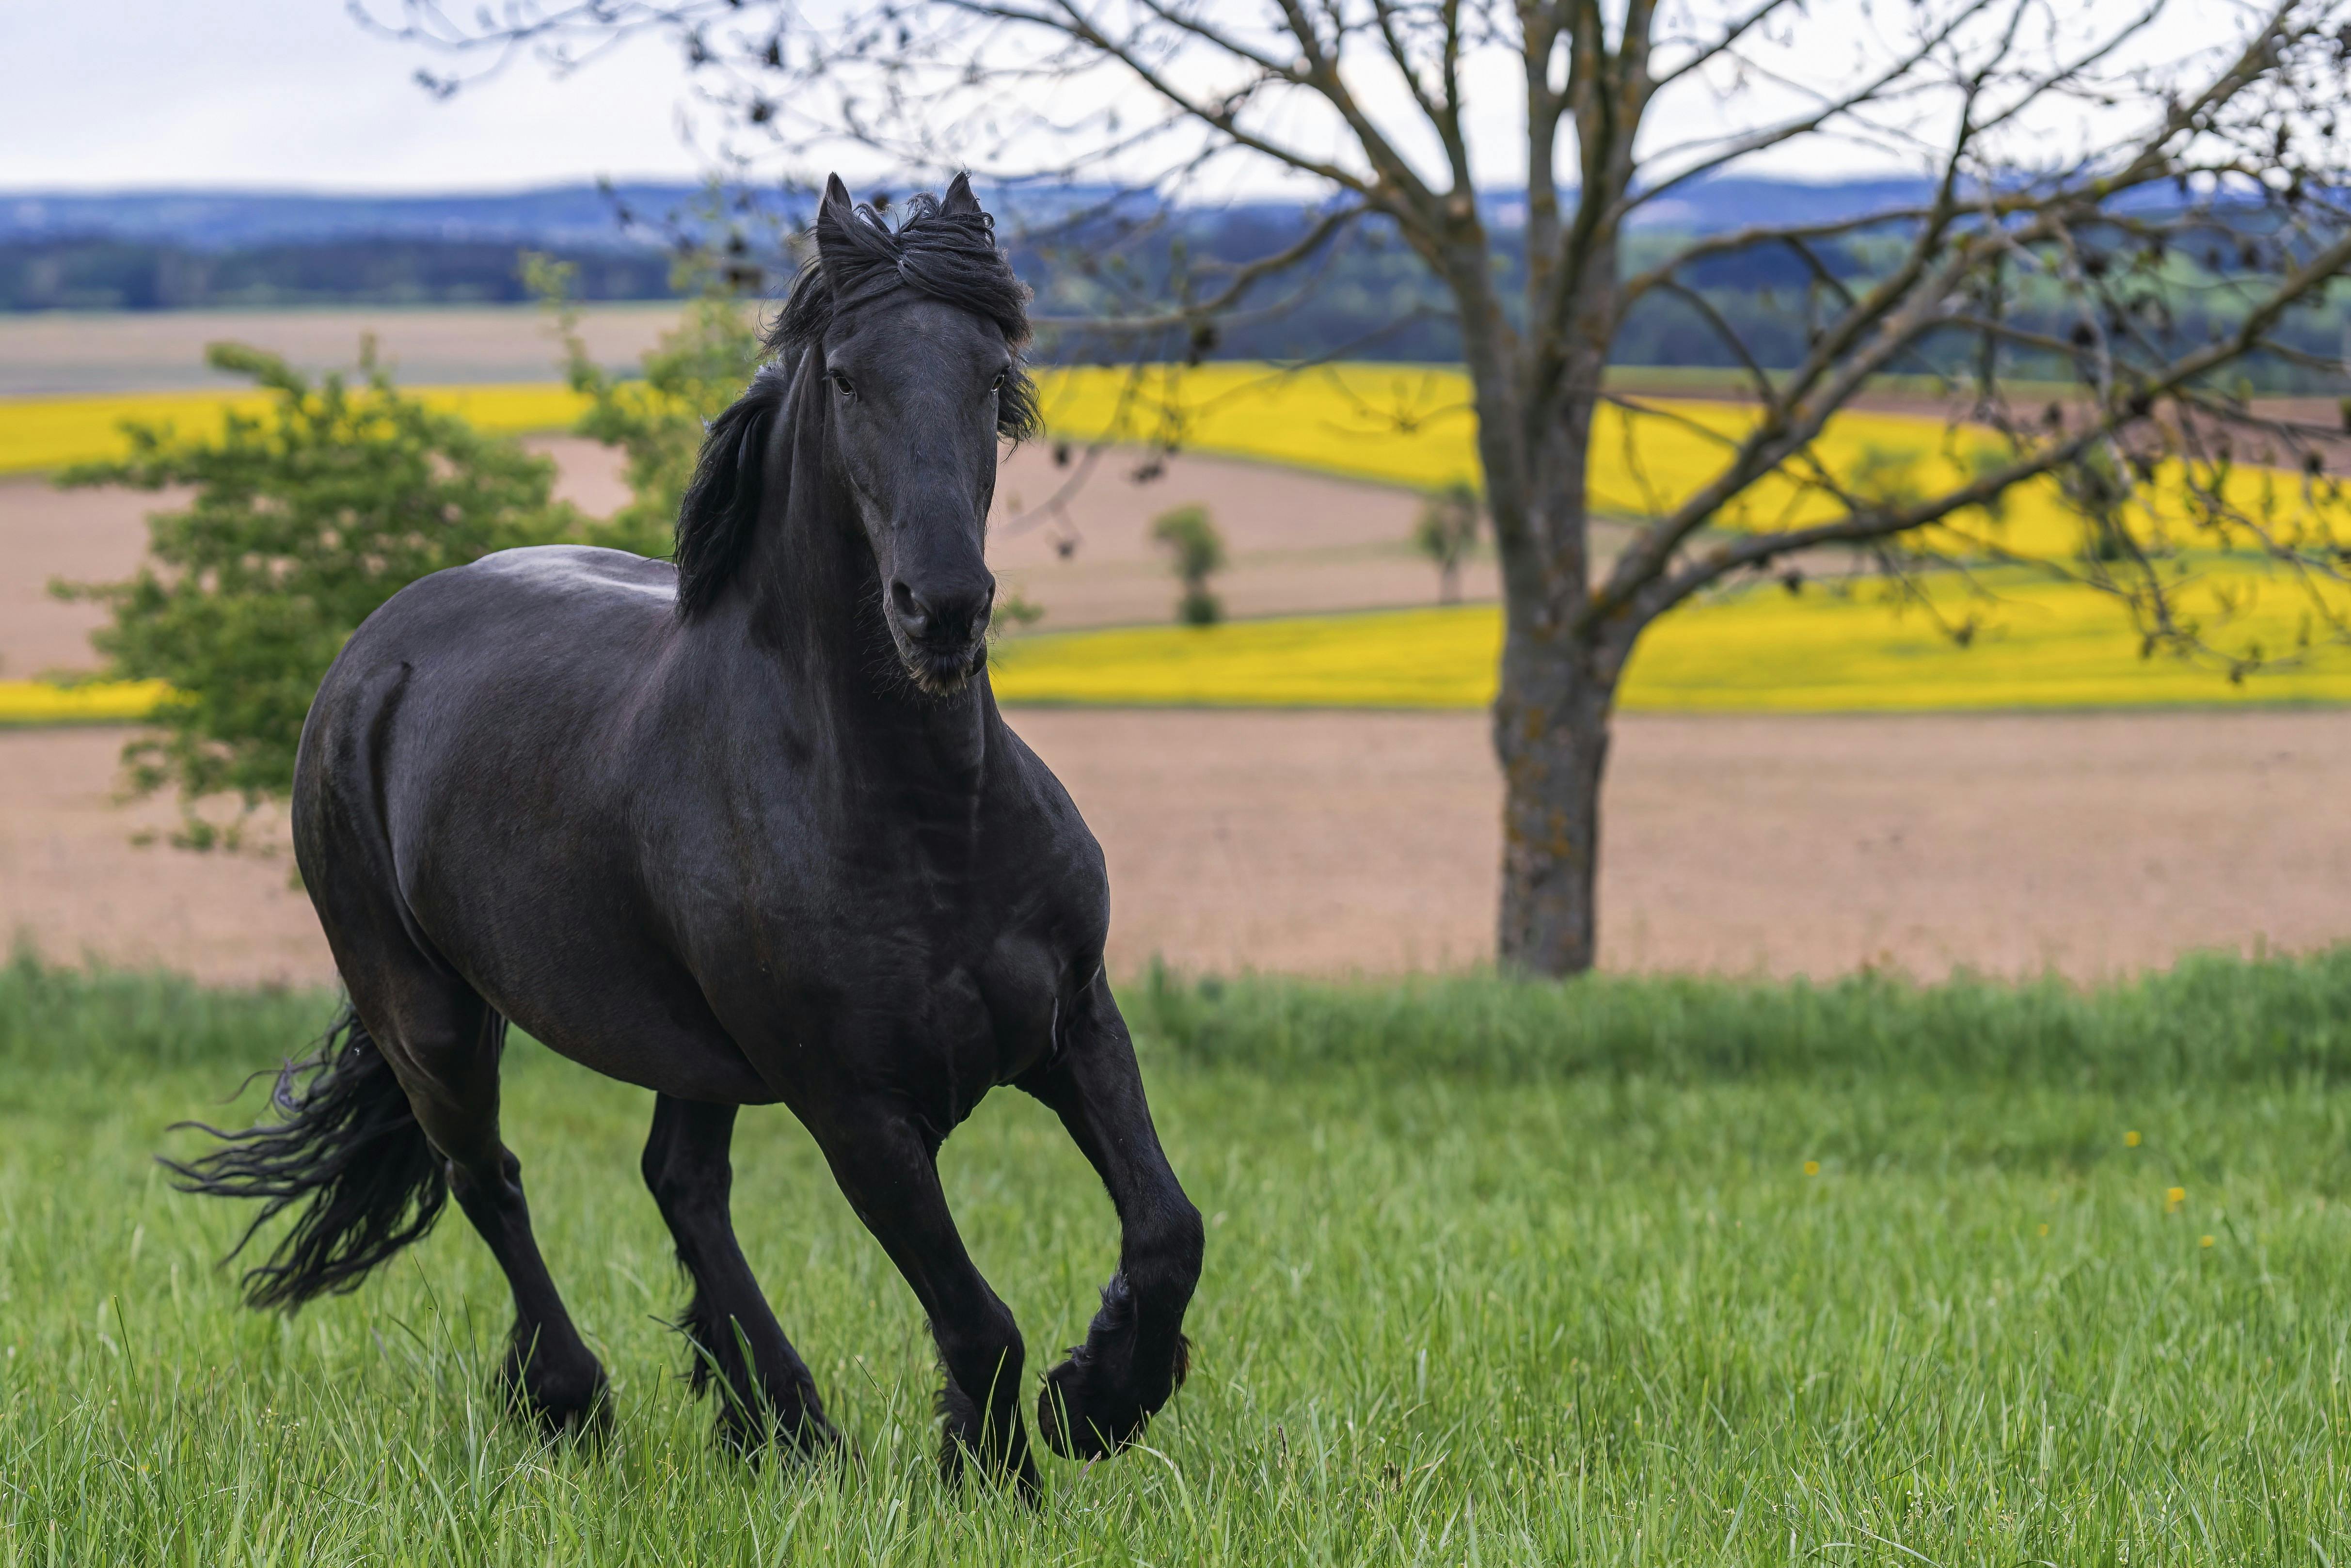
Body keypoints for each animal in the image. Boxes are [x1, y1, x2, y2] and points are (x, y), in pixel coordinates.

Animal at [170, 175, 1194, 1495]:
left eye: (989, 375)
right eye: (848, 377)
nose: (942, 611)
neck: (924, 818)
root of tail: (374, 652)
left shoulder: (1073, 1021)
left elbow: (1167, 1231)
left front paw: (1102, 1397)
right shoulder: (854, 1109)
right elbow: (978, 1318)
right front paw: (1003, 1468)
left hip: (687, 1046)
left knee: (681, 1185)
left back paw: (784, 1423)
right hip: (431, 1015)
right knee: (487, 1179)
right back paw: (579, 1401)